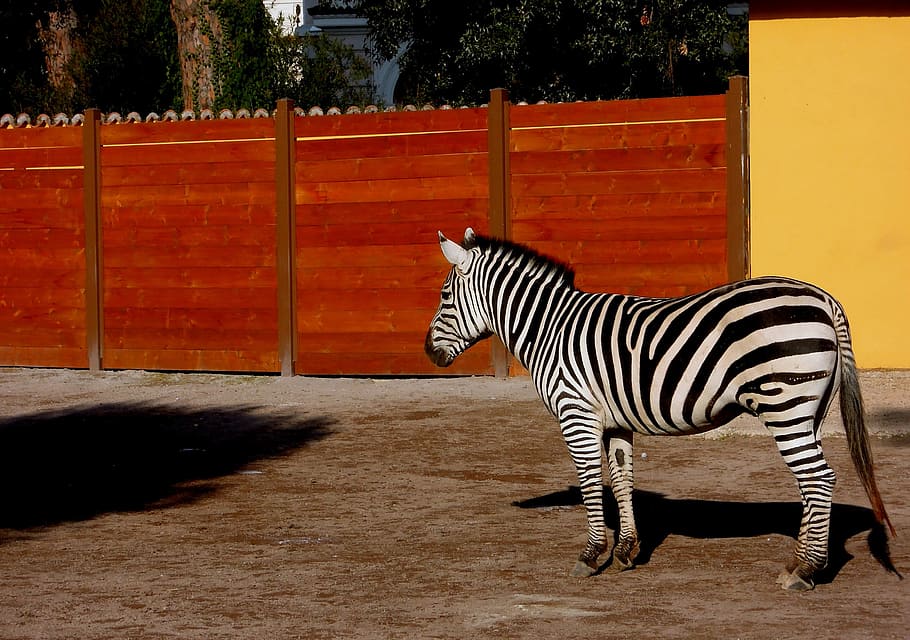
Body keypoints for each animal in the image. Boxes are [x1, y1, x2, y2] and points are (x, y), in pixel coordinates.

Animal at [424, 227, 894, 591]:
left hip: (785, 404)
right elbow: (622, 479)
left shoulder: (576, 412)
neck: (551, 329)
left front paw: (591, 555)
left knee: (819, 478)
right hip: (809, 409)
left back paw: (805, 571)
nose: (427, 352)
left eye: (445, 295)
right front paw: (626, 550)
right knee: (812, 483)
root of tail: (824, 298)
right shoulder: (614, 421)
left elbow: (591, 483)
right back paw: (801, 560)